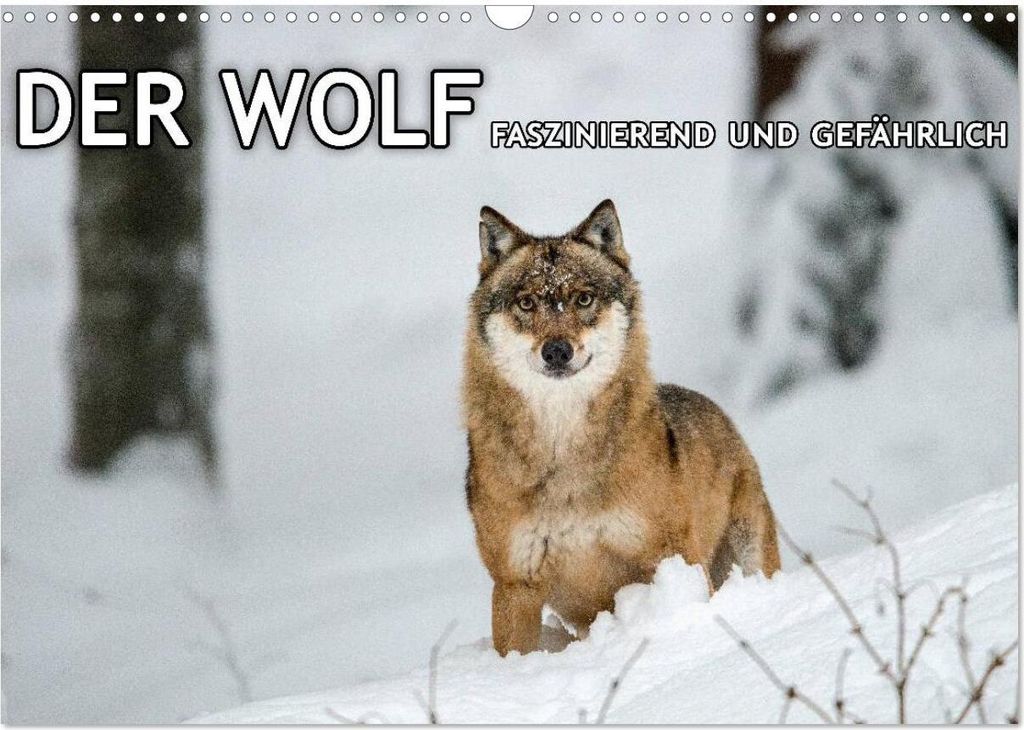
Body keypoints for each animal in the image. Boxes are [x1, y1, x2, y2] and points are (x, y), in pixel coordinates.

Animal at [462, 200, 781, 656]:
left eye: (583, 298)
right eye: (526, 303)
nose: (556, 351)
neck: (565, 459)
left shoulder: (670, 558)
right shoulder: (514, 586)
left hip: (749, 550)